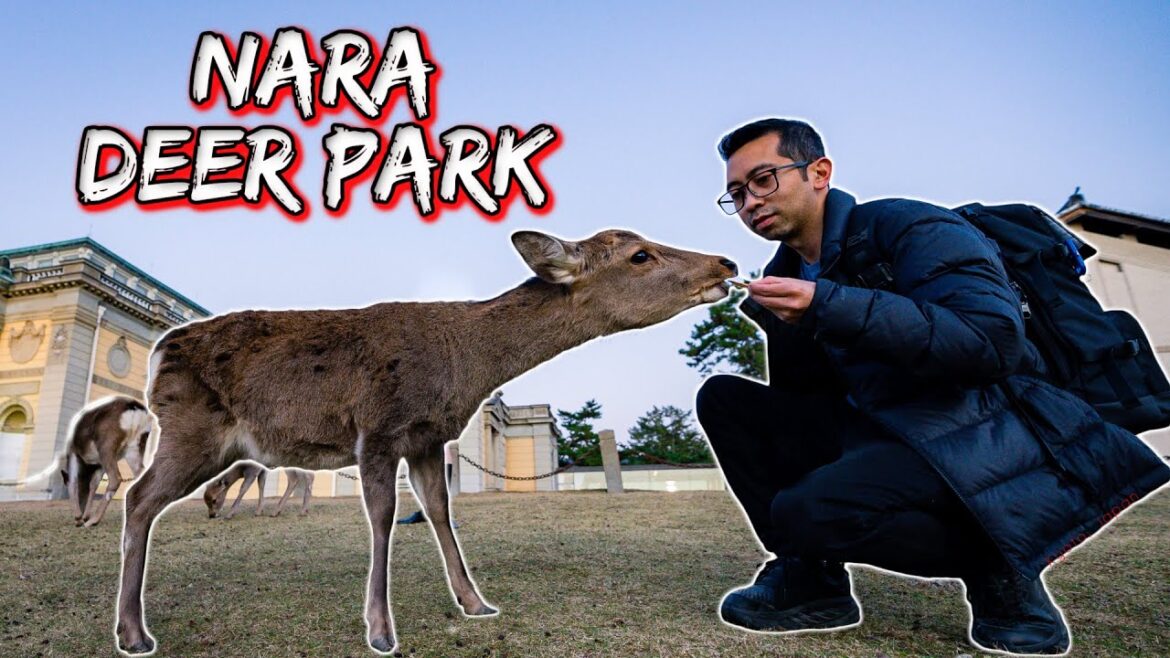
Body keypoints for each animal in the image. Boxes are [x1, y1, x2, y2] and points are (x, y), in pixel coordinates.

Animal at [114, 229, 736, 655]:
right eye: (640, 255)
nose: (726, 261)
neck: (464, 367)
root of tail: (158, 353)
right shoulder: (378, 428)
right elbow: (384, 516)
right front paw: (381, 630)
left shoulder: (428, 438)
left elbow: (439, 509)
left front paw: (475, 602)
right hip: (192, 430)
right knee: (138, 497)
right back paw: (134, 633)